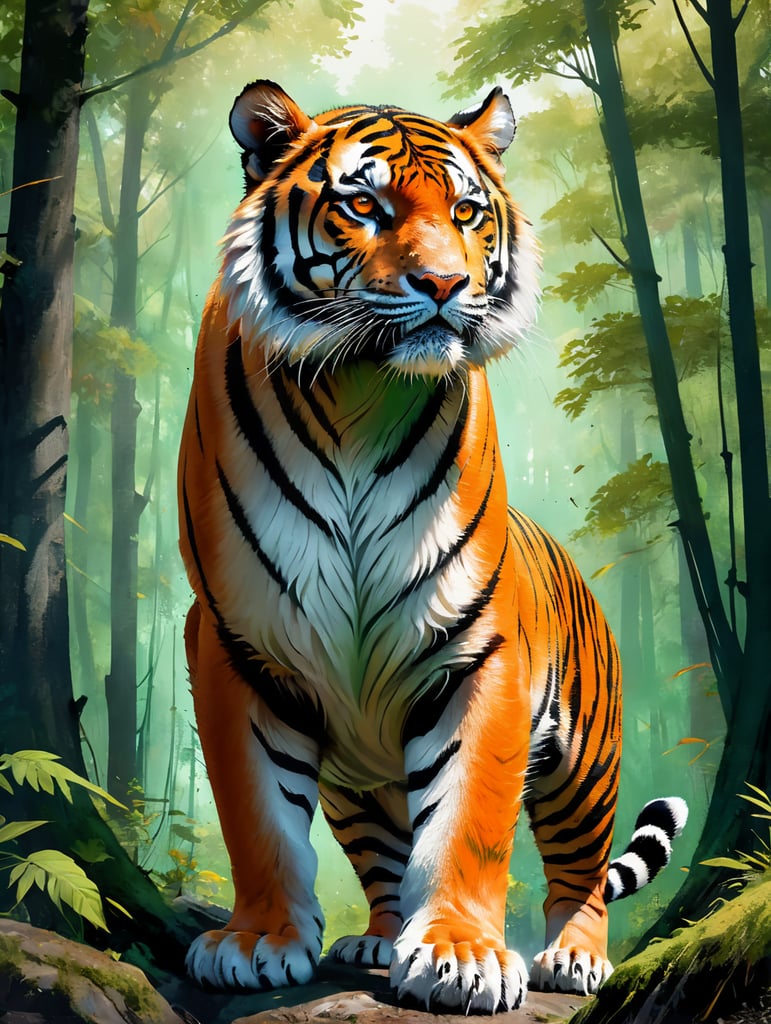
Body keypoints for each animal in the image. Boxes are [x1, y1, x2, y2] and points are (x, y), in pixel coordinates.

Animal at [177, 80, 687, 1012]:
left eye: (466, 211)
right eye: (363, 206)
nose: (445, 284)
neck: (358, 388)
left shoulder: (478, 651)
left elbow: (468, 823)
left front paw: (459, 957)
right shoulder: (235, 642)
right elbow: (256, 814)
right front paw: (258, 941)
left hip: (583, 762)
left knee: (581, 872)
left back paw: (573, 957)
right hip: (356, 779)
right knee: (381, 856)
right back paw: (378, 940)